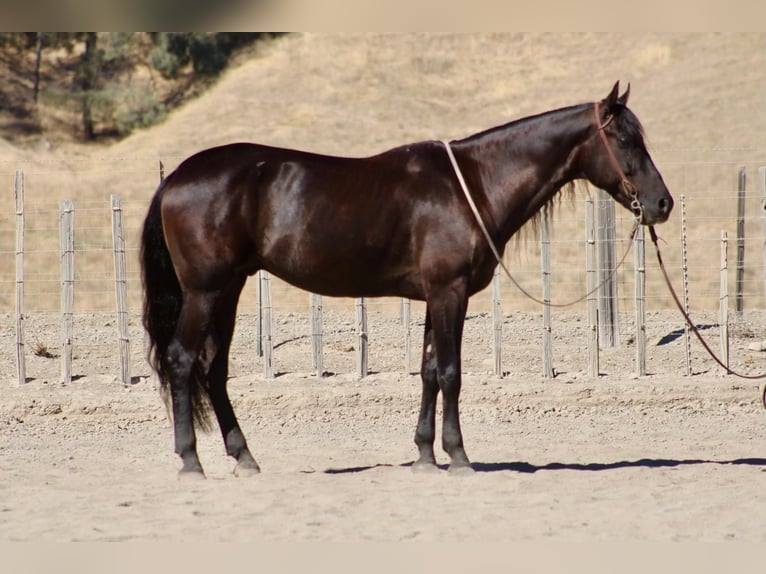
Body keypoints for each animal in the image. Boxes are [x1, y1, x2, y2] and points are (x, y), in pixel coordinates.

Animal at [141, 82, 673, 478]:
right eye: (624, 140)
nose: (662, 203)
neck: (473, 184)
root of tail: (176, 177)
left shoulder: (435, 296)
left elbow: (430, 371)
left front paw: (424, 455)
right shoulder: (449, 292)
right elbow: (452, 372)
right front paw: (458, 455)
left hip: (229, 289)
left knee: (213, 369)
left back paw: (244, 458)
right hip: (205, 291)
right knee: (183, 360)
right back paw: (191, 461)